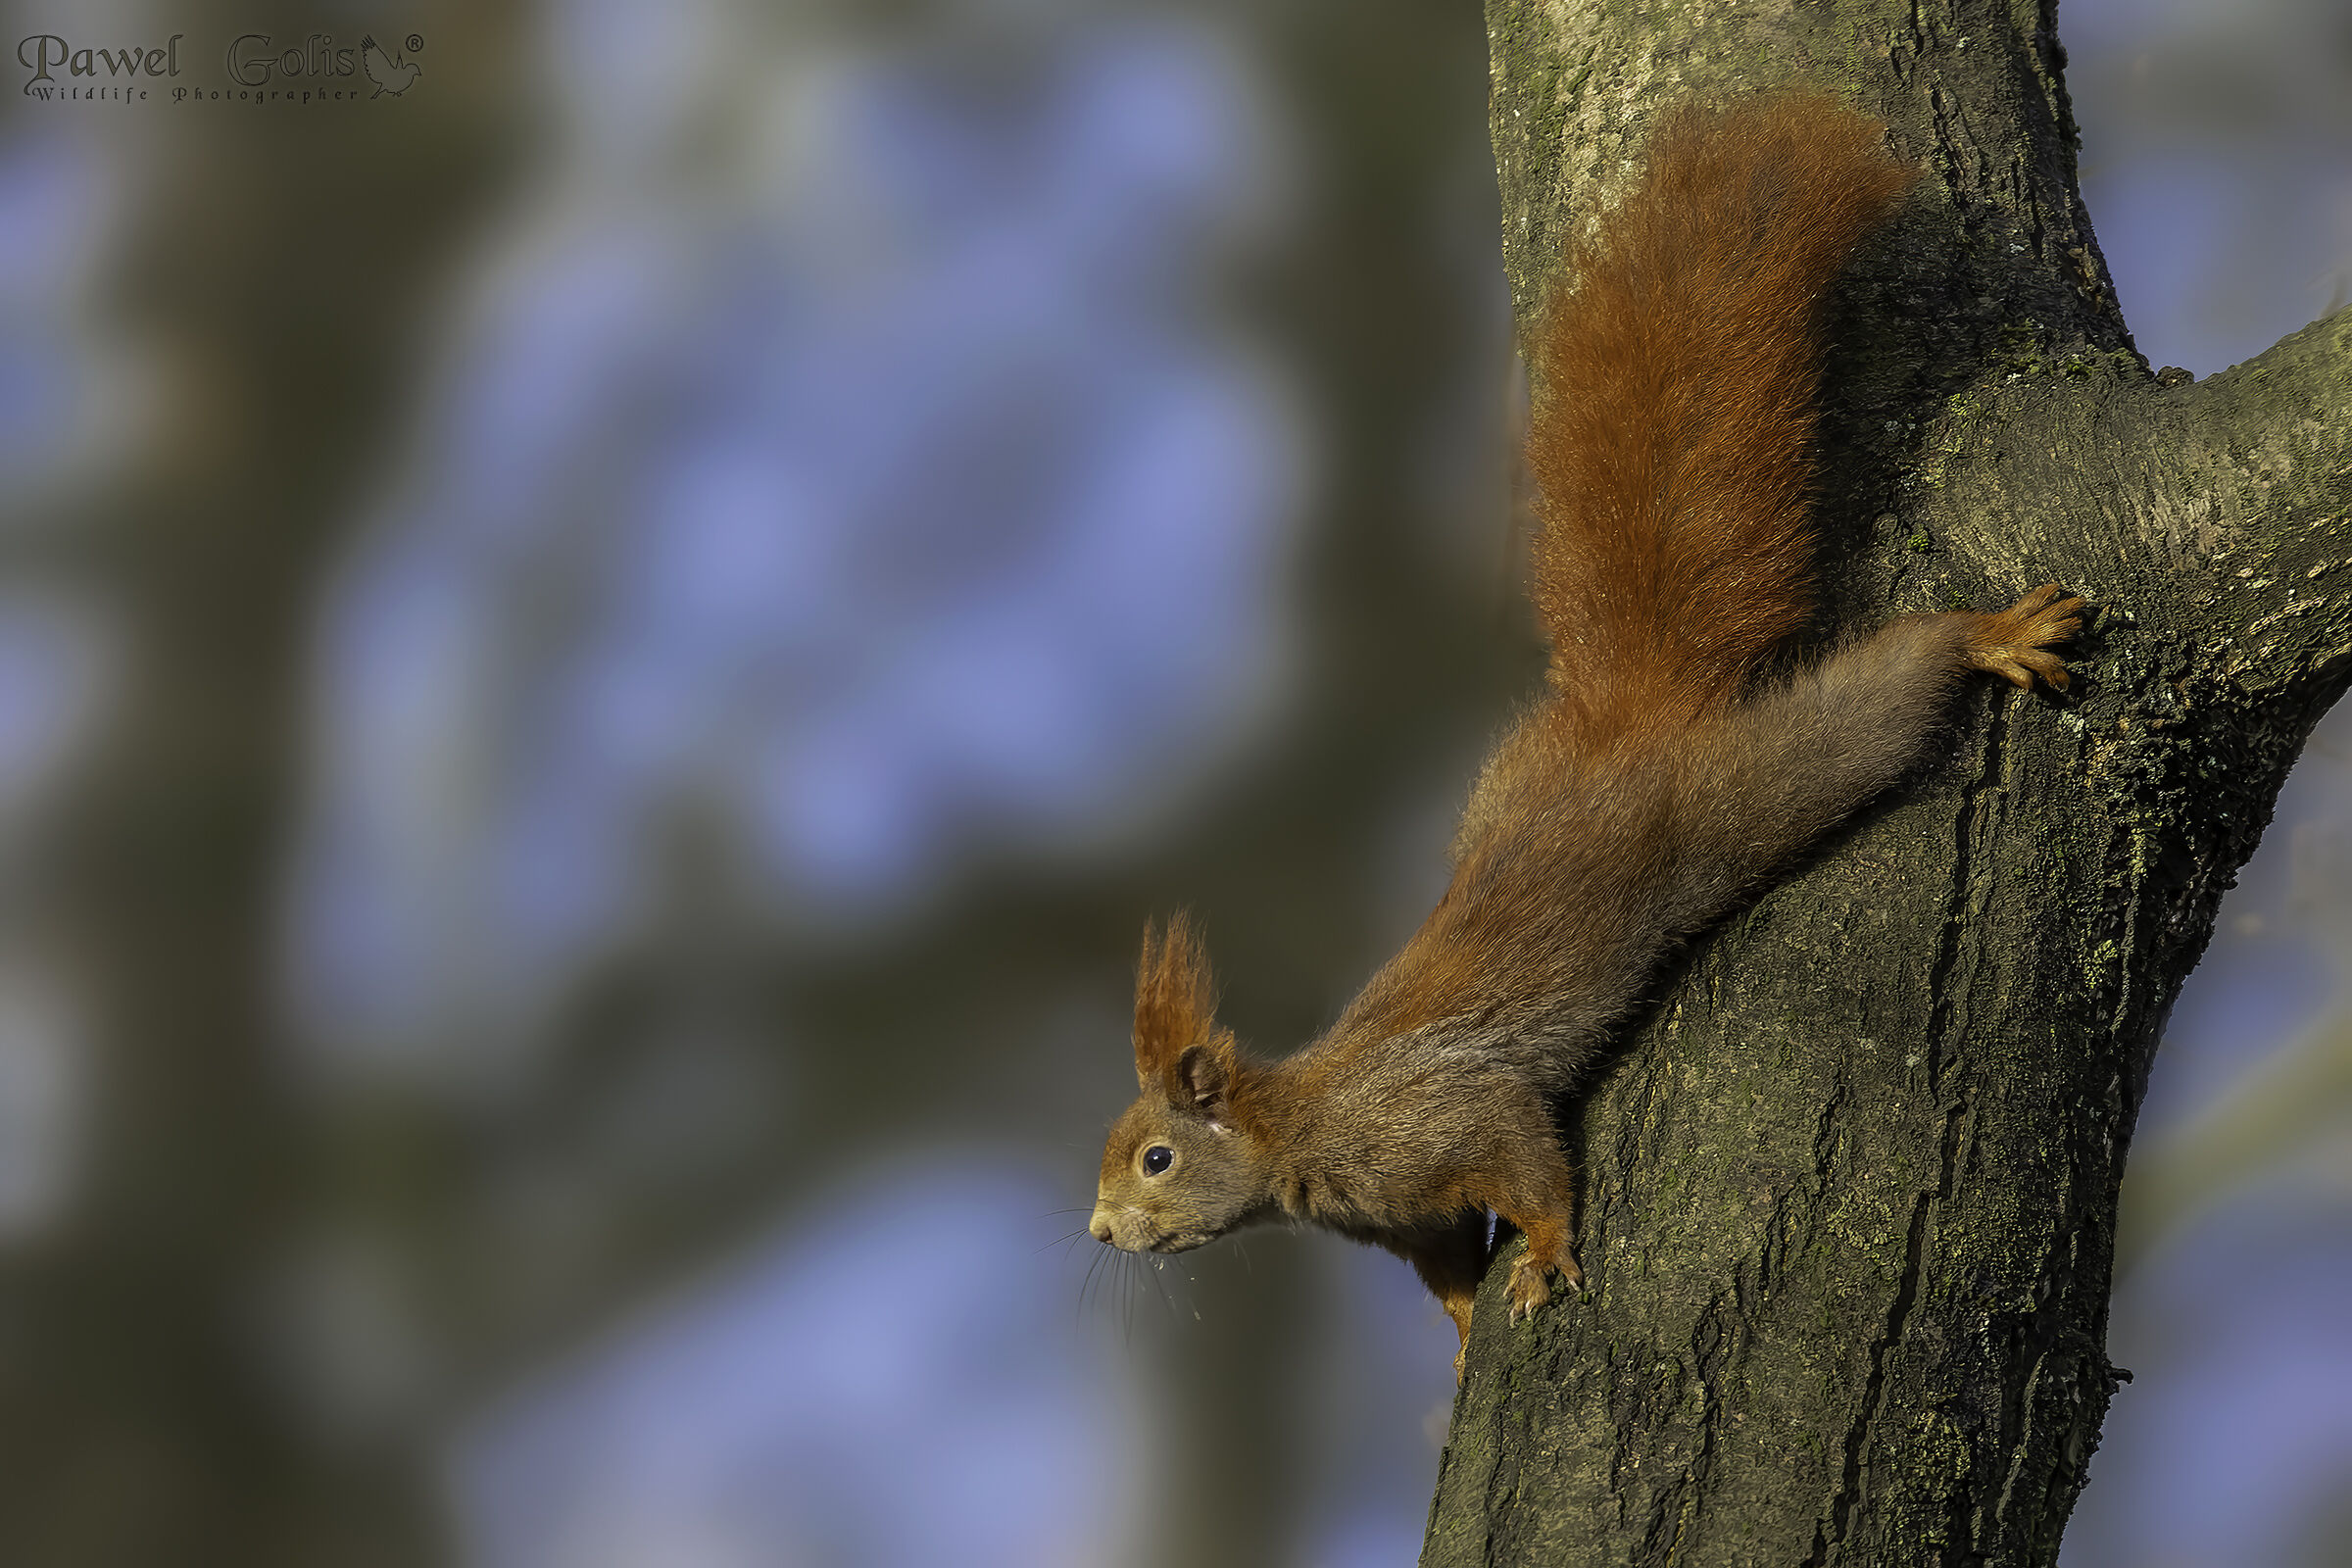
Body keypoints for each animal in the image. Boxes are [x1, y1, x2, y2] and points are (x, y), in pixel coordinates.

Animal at [1086, 94, 2085, 1367]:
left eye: (1158, 1156)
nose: (1100, 1231)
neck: (1298, 1132)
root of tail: (1623, 711)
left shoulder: (1442, 1113)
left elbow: (1524, 1153)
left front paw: (1547, 1250)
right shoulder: (1404, 1215)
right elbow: (1442, 1258)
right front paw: (1464, 1324)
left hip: (1745, 789)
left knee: (1876, 702)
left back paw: (1986, 635)